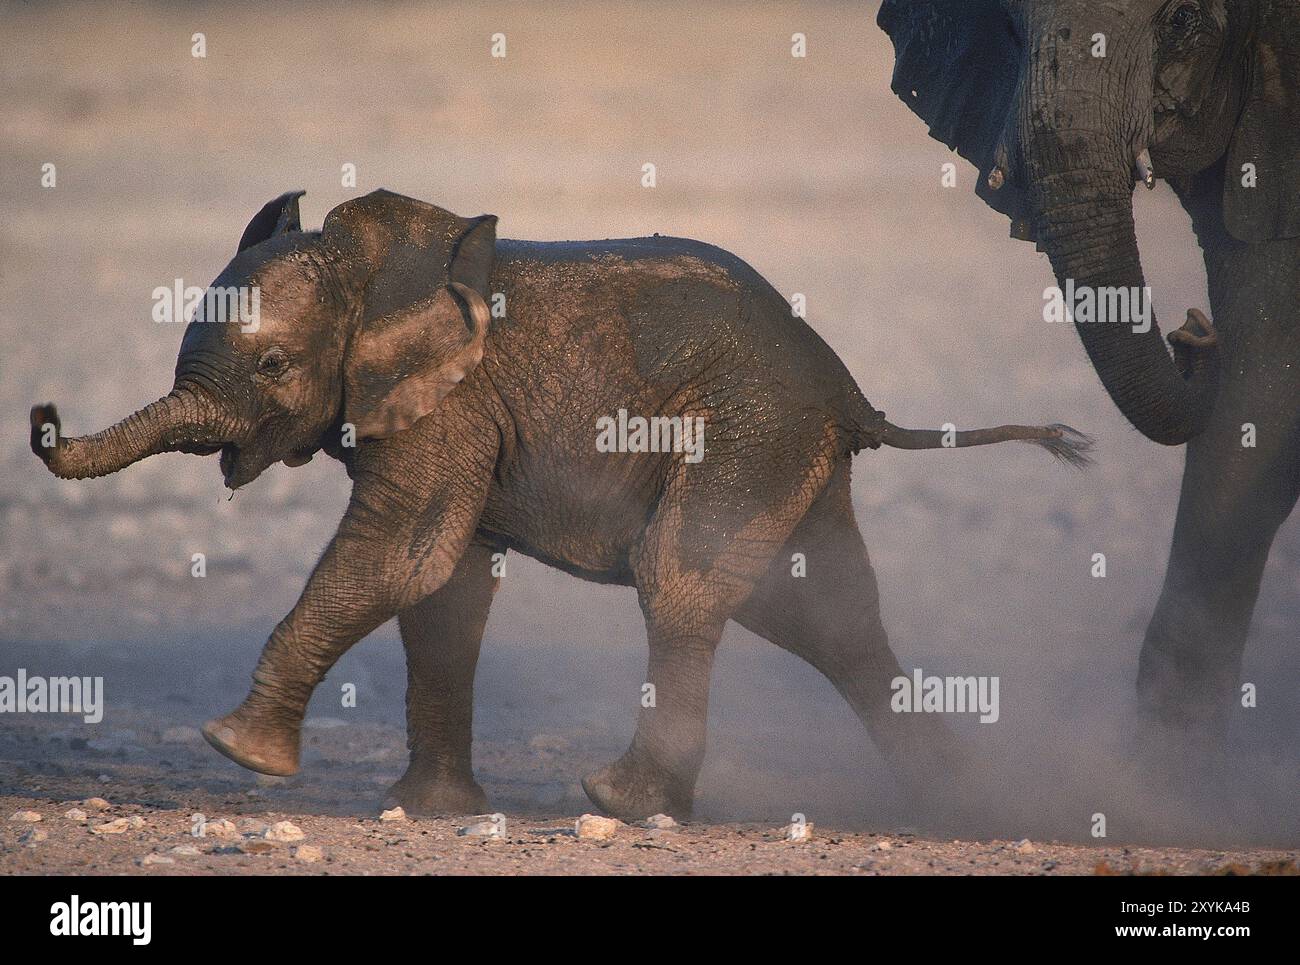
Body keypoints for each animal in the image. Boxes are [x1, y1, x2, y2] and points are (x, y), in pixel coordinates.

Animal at [30, 191, 1086, 821]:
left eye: (276, 365)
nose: (40, 415)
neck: (372, 269)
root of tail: (849, 389)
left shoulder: (450, 408)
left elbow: (396, 558)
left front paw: (238, 750)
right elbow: (442, 589)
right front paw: (433, 810)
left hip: (746, 432)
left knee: (685, 581)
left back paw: (623, 803)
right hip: (792, 456)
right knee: (827, 616)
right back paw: (961, 805)